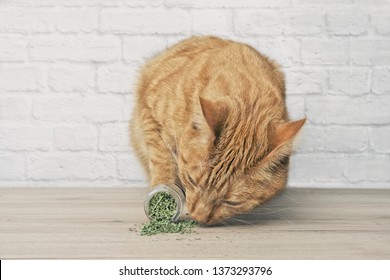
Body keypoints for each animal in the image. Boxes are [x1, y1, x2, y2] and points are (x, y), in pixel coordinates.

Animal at [131, 36, 304, 225]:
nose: (198, 217)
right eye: (191, 181)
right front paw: (163, 188)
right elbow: (162, 160)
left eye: (232, 202)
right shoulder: (149, 113)